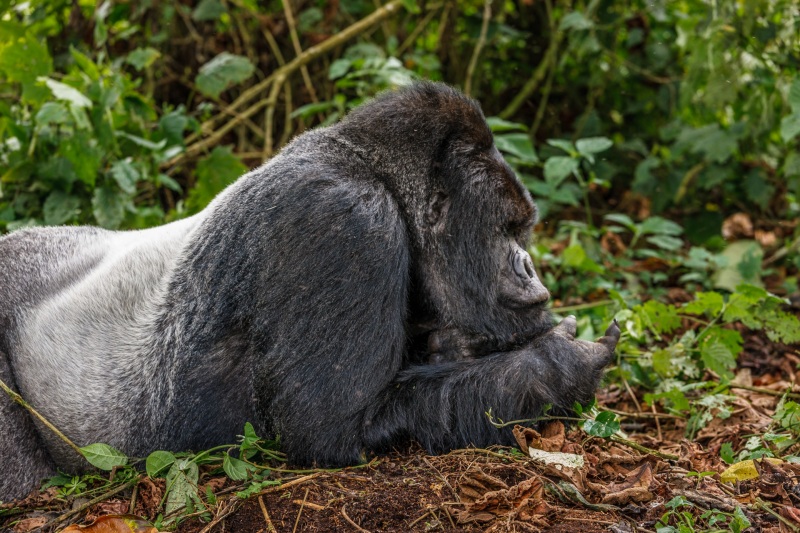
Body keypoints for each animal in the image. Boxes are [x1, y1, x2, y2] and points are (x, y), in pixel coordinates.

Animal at [0, 82, 620, 498]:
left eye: (522, 231)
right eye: (506, 231)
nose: (530, 268)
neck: (373, 169)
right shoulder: (345, 222)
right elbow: (330, 428)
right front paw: (562, 363)